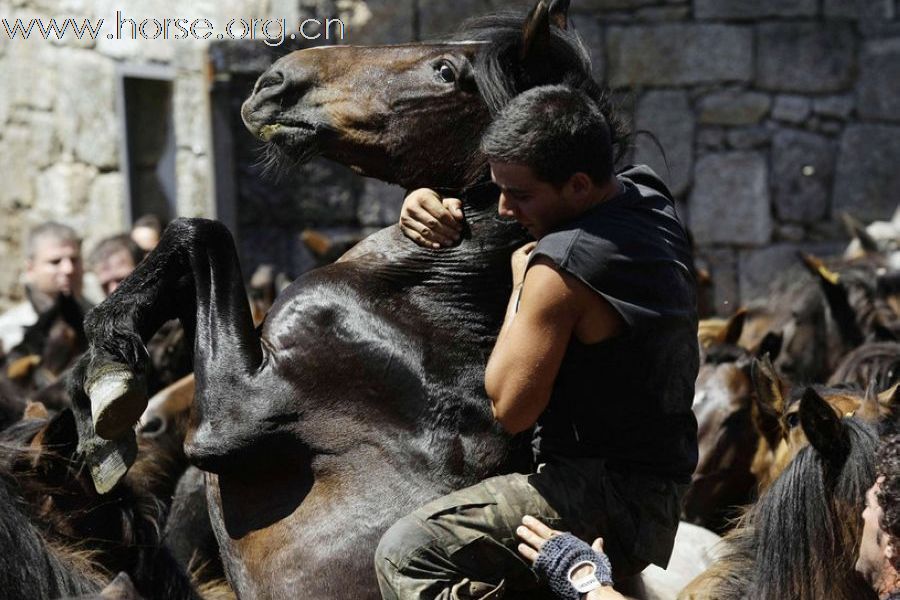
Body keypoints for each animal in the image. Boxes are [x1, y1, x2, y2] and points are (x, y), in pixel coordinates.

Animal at [70, 2, 624, 596]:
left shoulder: (230, 414)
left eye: (446, 72)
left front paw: (108, 379)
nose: (276, 81)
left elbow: (199, 233)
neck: (430, 305)